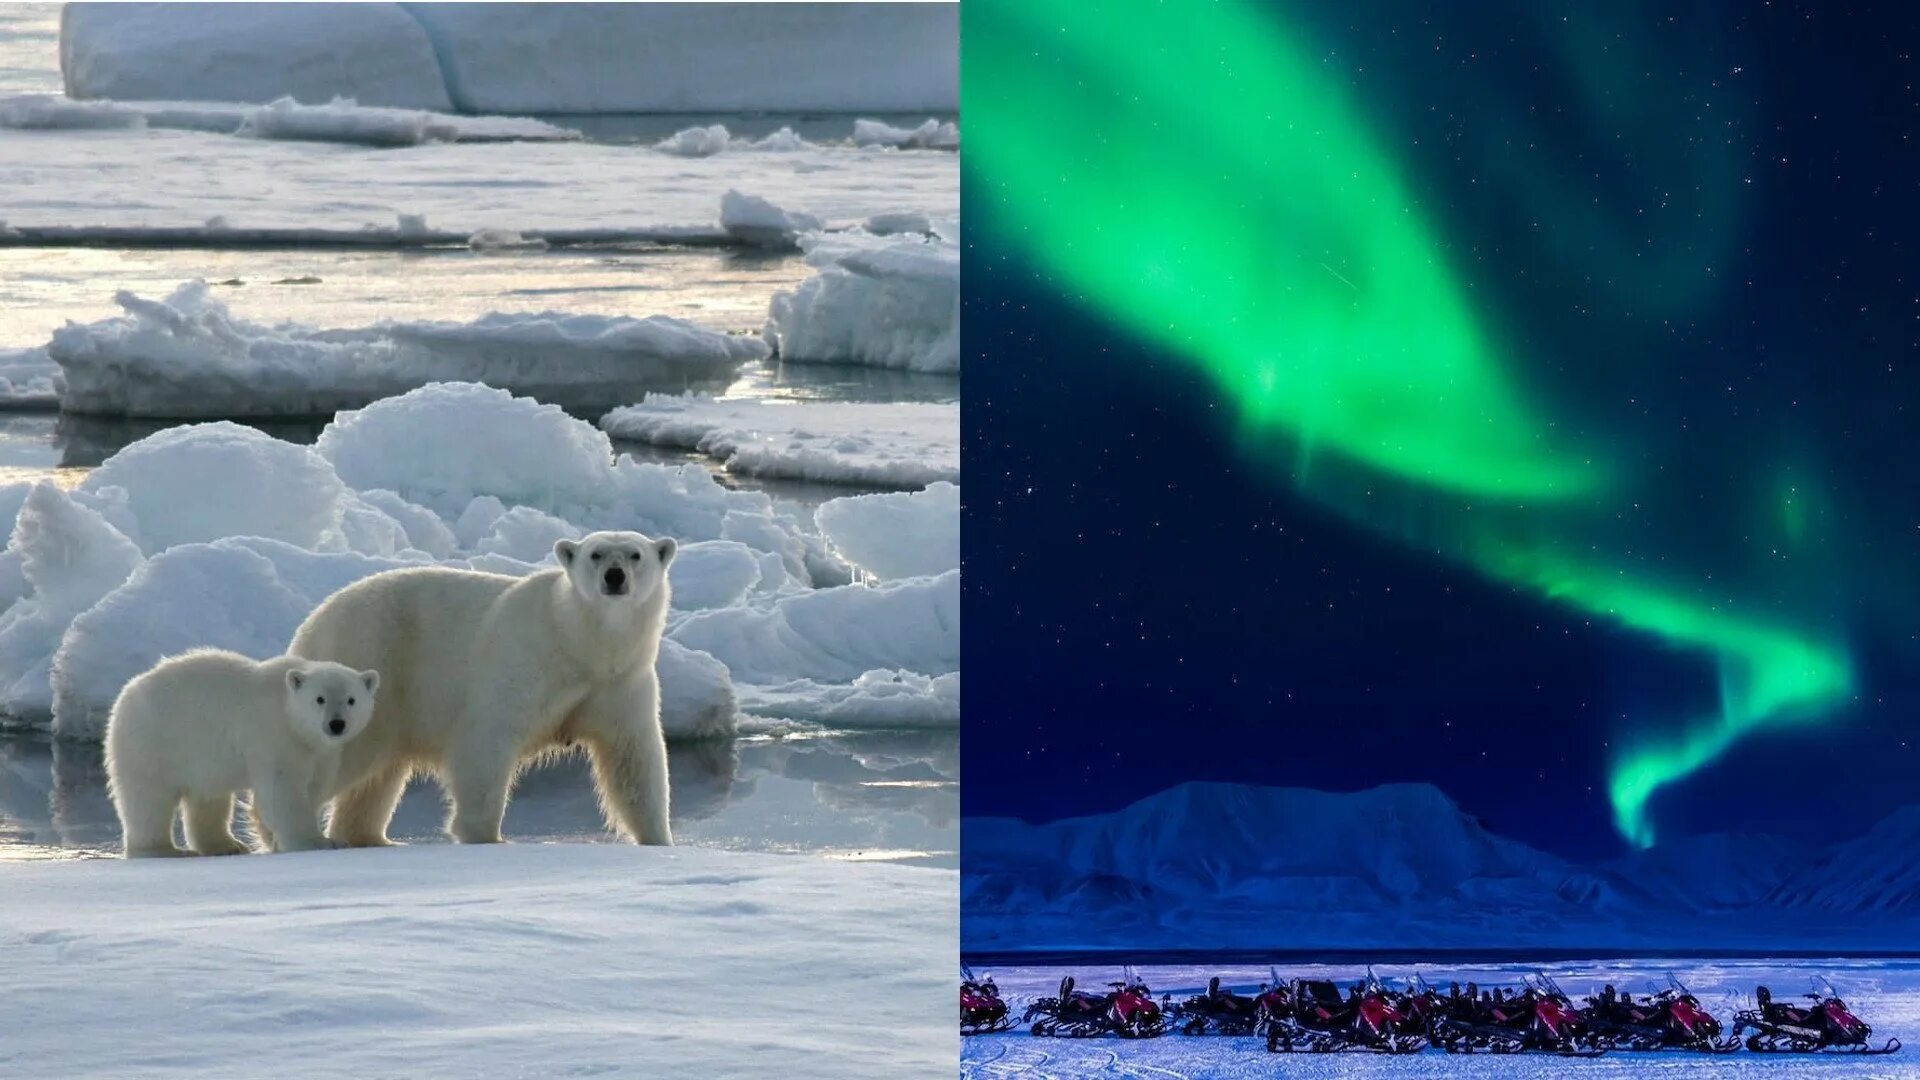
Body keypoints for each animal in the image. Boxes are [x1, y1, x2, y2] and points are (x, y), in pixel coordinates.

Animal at [108, 653, 378, 853]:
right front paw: (318, 842)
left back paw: (226, 846)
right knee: (148, 798)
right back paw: (162, 849)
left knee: (208, 798)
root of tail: (125, 694)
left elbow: (315, 788)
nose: (336, 724)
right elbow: (283, 792)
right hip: (152, 742)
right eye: (319, 699)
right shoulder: (274, 736)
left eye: (351, 699)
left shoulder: (321, 751)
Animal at [284, 526, 675, 845]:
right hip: (369, 656)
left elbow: (634, 756)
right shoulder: (523, 661)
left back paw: (371, 838)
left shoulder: (621, 680)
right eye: (596, 554)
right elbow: (487, 738)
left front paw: (659, 839)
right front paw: (484, 835)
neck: (577, 641)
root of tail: (310, 623)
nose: (614, 576)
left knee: (377, 778)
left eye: (635, 554)